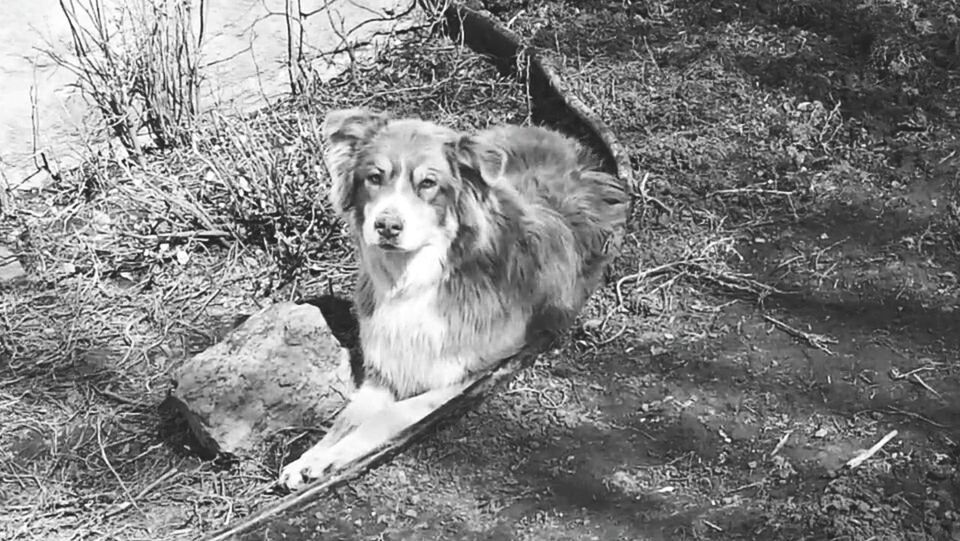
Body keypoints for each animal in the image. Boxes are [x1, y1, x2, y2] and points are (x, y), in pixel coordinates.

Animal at [276, 108, 632, 490]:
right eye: (374, 177)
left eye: (428, 184)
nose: (386, 226)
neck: (414, 279)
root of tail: (561, 139)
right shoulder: (385, 369)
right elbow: (347, 418)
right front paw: (310, 458)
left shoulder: (467, 376)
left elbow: (389, 416)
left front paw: (328, 459)